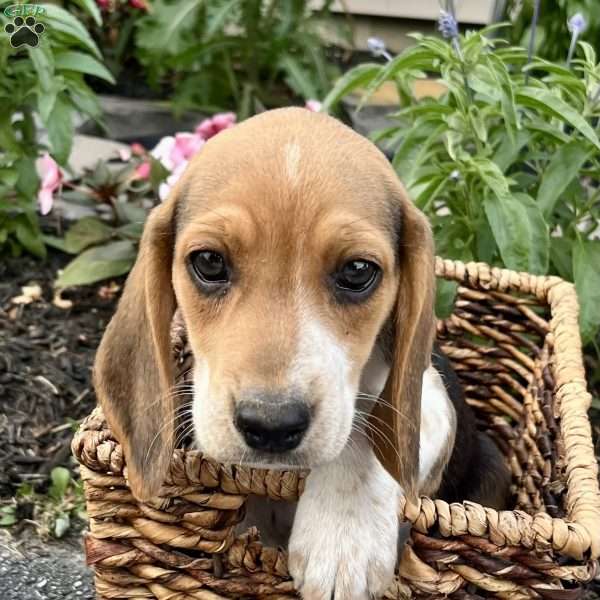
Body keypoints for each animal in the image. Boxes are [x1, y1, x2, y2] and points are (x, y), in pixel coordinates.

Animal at [96, 108, 508, 600]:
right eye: (209, 262)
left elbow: (367, 426)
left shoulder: (431, 400)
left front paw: (343, 538)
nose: (271, 425)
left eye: (357, 271)